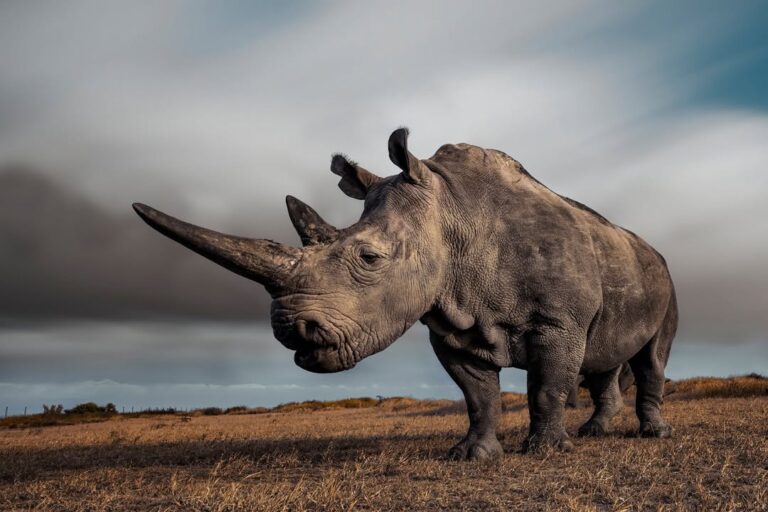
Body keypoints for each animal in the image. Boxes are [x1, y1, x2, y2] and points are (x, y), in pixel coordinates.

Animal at [133, 128, 677, 459]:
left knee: (651, 356)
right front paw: (471, 456)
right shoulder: (451, 324)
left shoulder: (557, 321)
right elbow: (478, 396)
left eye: (370, 258)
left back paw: (652, 435)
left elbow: (547, 386)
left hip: (666, 280)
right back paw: (594, 433)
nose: (291, 331)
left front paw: (544, 452)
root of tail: (653, 250)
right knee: (604, 357)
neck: (455, 213)